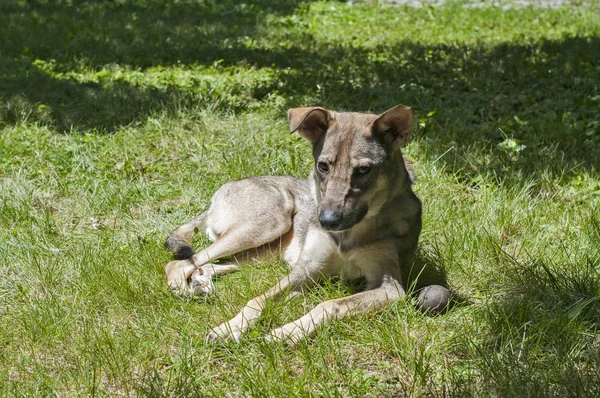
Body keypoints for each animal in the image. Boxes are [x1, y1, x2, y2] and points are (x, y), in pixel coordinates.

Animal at [164, 104, 450, 344]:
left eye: (363, 170)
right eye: (323, 166)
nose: (326, 220)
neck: (347, 235)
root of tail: (218, 194)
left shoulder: (389, 286)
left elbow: (330, 304)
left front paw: (286, 332)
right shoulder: (307, 267)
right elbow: (257, 299)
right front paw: (230, 327)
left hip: (265, 250)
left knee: (206, 265)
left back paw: (200, 286)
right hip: (270, 223)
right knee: (180, 263)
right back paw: (186, 289)